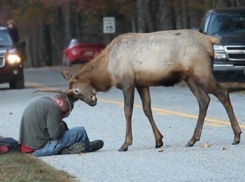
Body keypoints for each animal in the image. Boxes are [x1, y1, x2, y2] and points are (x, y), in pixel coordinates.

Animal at [36, 29, 245, 152]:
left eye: (76, 91)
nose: (92, 101)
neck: (108, 70)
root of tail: (210, 40)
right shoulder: (142, 83)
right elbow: (147, 109)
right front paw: (159, 140)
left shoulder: (127, 82)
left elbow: (128, 110)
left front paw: (125, 143)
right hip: (190, 77)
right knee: (204, 100)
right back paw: (192, 139)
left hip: (202, 71)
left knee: (223, 94)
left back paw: (236, 136)